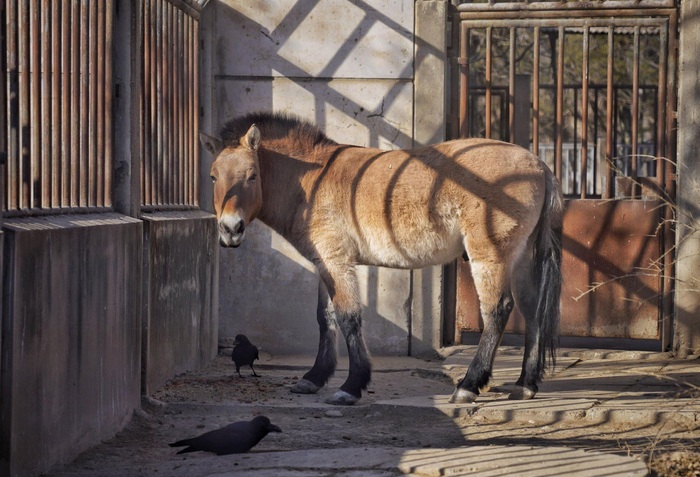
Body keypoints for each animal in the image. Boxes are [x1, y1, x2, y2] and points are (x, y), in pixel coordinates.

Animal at [200, 111, 563, 406]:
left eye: (252, 176)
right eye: (213, 177)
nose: (230, 229)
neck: (311, 180)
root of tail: (540, 165)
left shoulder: (336, 260)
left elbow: (348, 318)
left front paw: (351, 386)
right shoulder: (324, 262)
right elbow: (325, 318)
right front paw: (314, 378)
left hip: (490, 255)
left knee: (498, 309)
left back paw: (469, 386)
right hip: (521, 258)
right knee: (533, 311)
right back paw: (525, 385)